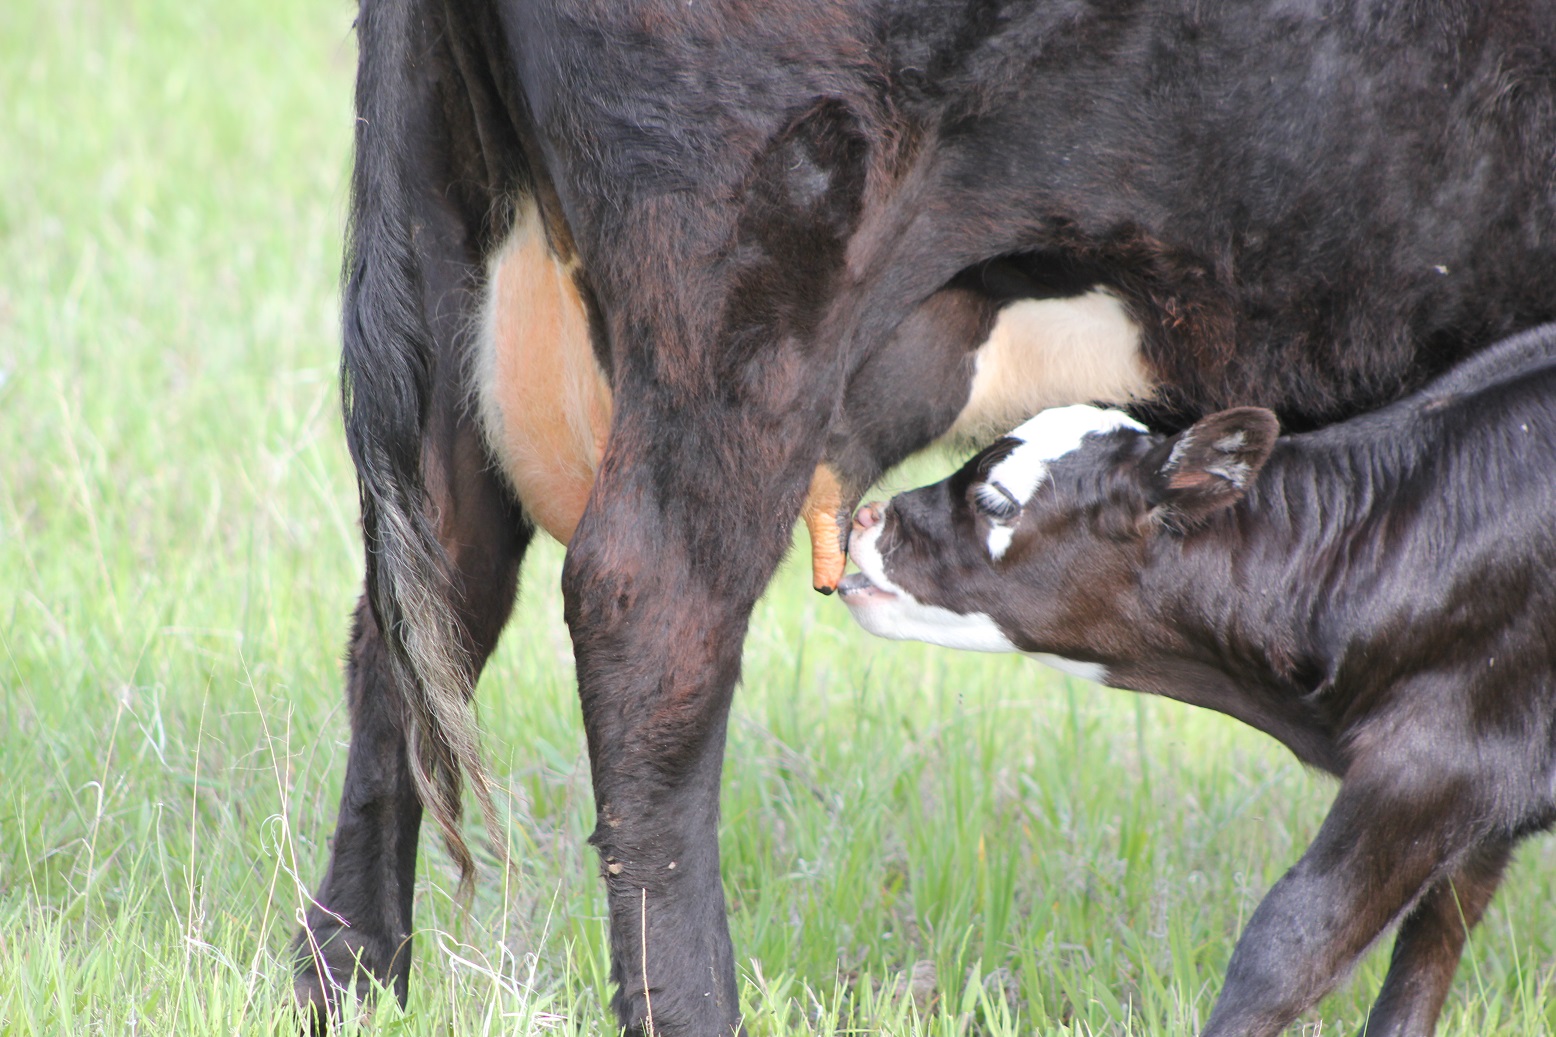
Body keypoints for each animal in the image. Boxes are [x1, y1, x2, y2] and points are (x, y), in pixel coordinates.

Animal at [839, 323, 1556, 1037]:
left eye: (994, 500)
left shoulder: (1435, 760)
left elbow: (1290, 945)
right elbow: (1424, 959)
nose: (866, 517)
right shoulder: (1476, 814)